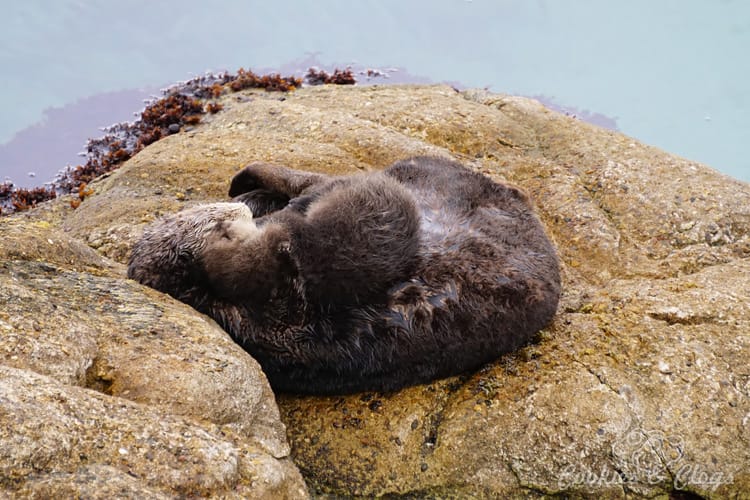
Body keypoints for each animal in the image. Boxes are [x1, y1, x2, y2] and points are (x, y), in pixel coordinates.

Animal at [128, 156, 561, 394]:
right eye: (221, 226)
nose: (240, 214)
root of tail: (514, 194)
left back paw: (253, 188)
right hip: (429, 172)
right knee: (326, 181)